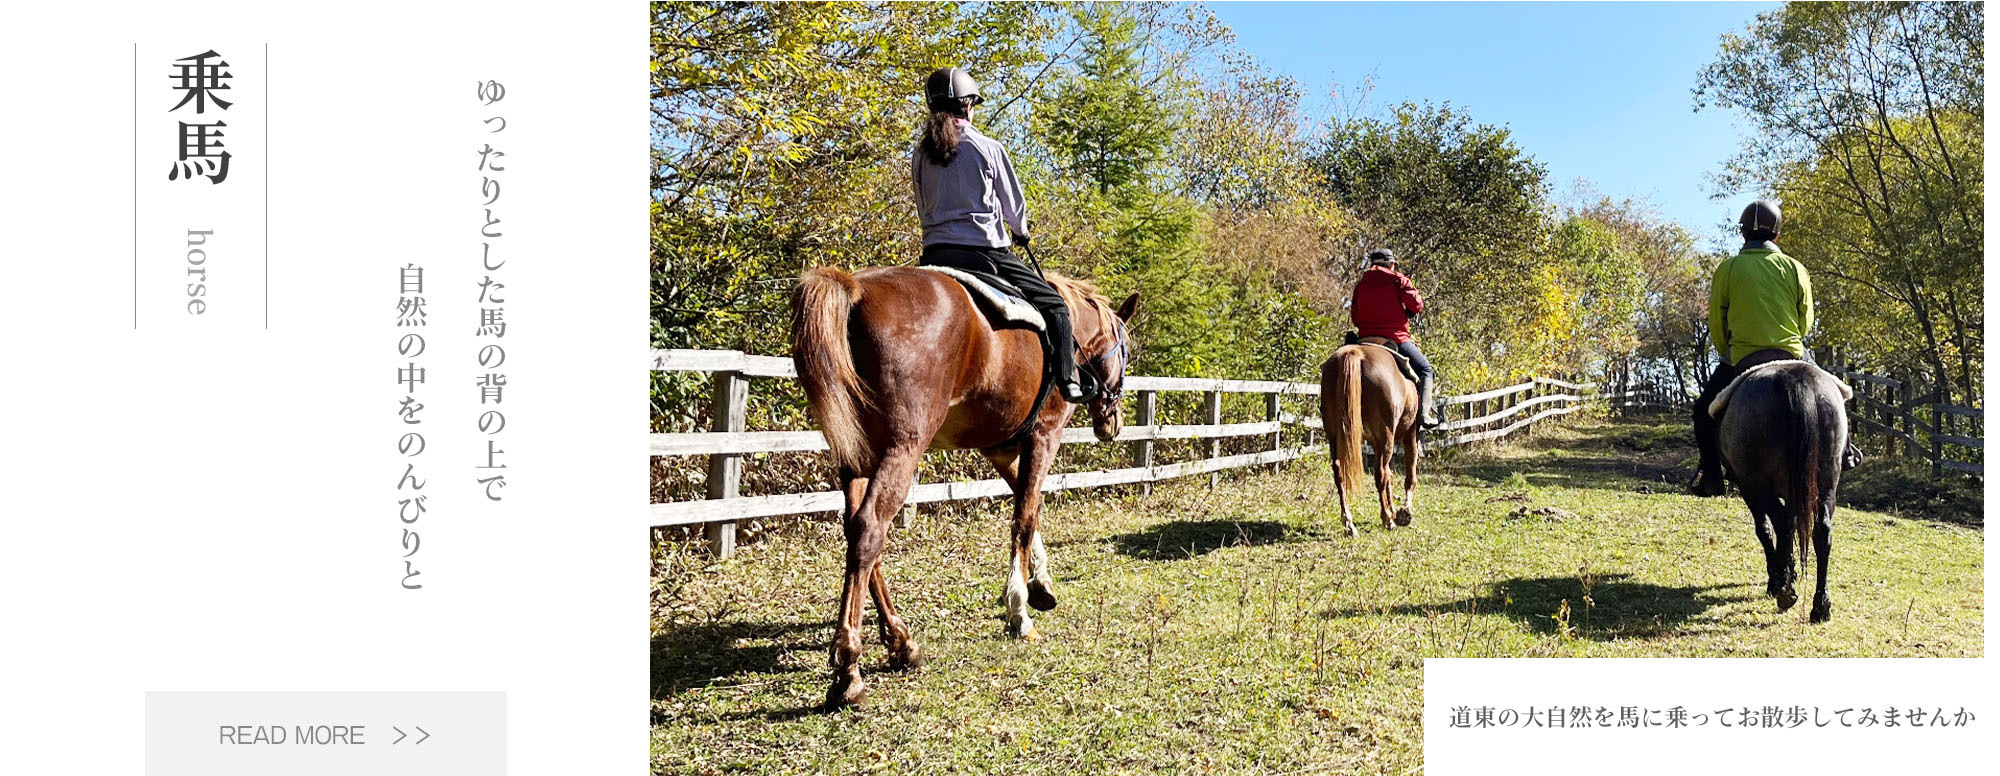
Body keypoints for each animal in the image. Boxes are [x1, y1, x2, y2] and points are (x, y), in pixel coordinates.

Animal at [796, 266, 1144, 708]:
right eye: (1126, 351)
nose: (1112, 422)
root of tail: (857, 287)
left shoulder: (1000, 449)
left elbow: (1031, 506)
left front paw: (1041, 584)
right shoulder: (1044, 436)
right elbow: (1024, 518)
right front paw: (1019, 610)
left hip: (858, 454)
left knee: (857, 534)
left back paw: (901, 642)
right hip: (902, 447)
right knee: (870, 529)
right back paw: (849, 671)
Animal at [1328, 342, 1424, 536]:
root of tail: (1355, 353)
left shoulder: (1375, 441)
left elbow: (1390, 475)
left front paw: (1393, 509)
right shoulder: (1410, 434)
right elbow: (1409, 475)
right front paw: (1404, 512)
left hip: (1334, 434)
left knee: (1339, 471)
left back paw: (1349, 523)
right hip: (1386, 435)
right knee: (1380, 474)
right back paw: (1388, 520)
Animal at [1712, 360, 1848, 624]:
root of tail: (1794, 378)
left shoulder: (1749, 488)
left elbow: (1765, 530)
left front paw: (1780, 577)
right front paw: (1790, 571)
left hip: (1757, 485)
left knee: (1781, 525)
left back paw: (1784, 591)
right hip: (1826, 484)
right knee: (1821, 533)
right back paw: (1820, 606)